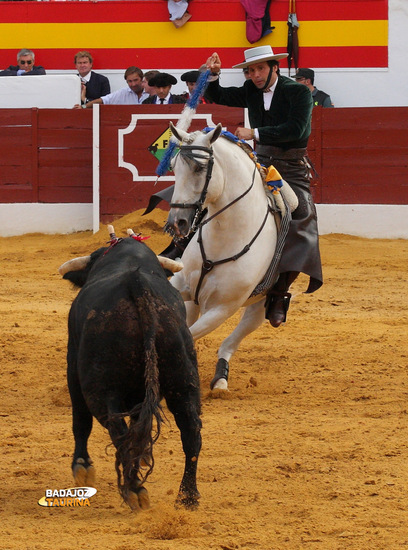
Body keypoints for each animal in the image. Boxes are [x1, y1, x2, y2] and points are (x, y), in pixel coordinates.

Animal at [59, 237, 202, 512]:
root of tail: (137, 286)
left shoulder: (73, 366)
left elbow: (80, 421)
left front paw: (82, 466)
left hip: (101, 389)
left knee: (119, 433)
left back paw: (135, 490)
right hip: (184, 378)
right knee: (191, 432)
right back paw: (187, 497)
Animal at [166, 125, 296, 392]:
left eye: (199, 168)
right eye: (173, 167)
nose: (176, 223)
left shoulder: (222, 307)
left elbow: (188, 334)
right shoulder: (181, 284)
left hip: (259, 307)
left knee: (230, 341)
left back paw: (220, 379)